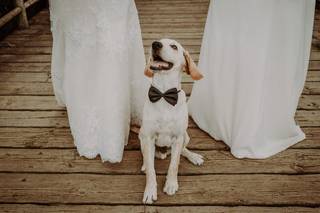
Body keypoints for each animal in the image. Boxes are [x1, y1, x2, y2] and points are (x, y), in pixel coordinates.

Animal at [139, 39, 204, 204]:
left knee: (182, 151)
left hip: (186, 136)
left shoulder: (178, 137)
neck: (163, 93)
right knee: (147, 156)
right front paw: (150, 191)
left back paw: (193, 156)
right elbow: (151, 171)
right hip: (141, 136)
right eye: (157, 41)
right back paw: (145, 164)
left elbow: (174, 165)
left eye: (174, 46)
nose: (155, 44)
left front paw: (171, 184)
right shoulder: (148, 137)